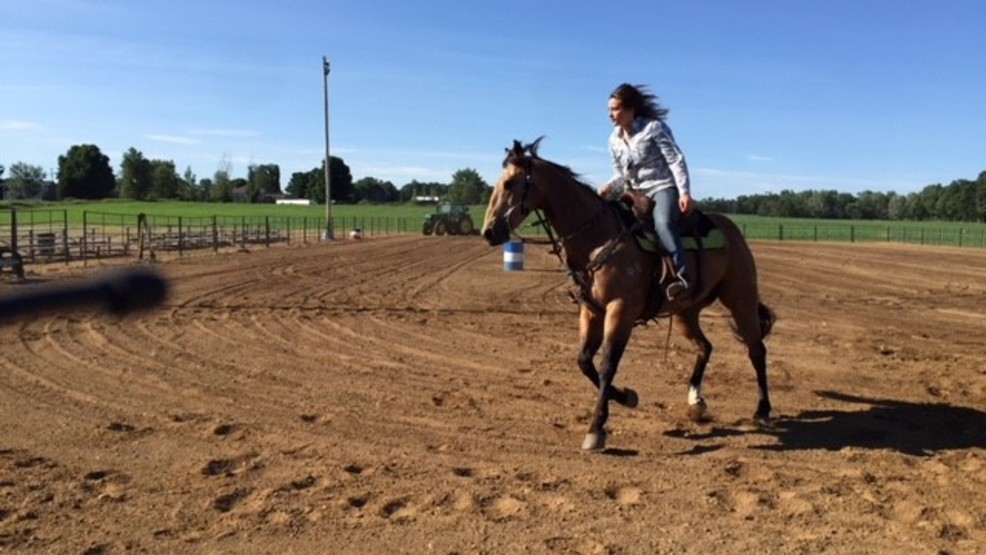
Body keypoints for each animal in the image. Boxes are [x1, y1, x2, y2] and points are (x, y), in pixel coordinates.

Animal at [480, 138, 772, 452]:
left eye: (509, 183)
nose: (489, 232)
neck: (598, 238)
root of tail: (731, 229)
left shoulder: (620, 310)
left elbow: (608, 365)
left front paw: (596, 428)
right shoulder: (591, 311)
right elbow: (584, 362)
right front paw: (625, 397)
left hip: (740, 298)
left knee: (756, 349)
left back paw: (762, 410)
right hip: (686, 311)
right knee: (704, 347)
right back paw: (696, 402)